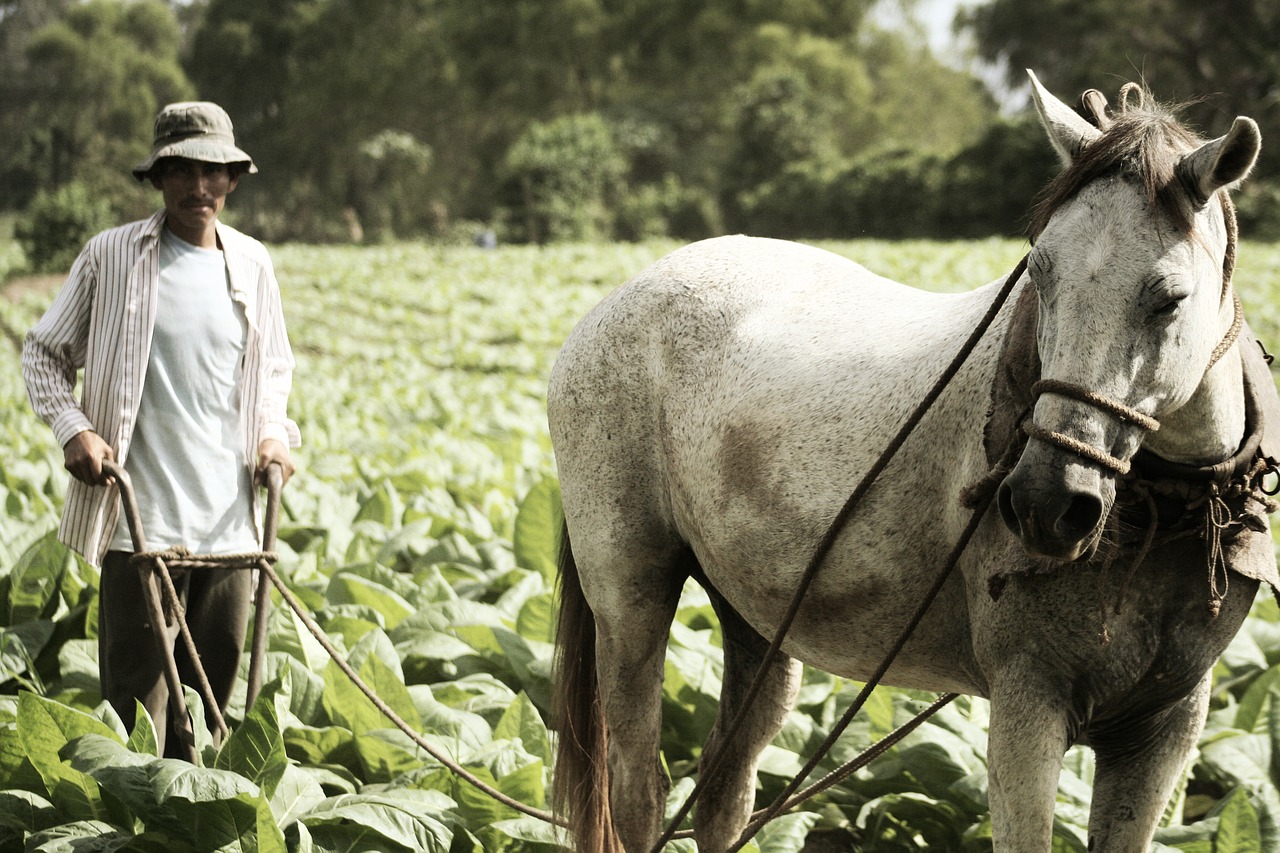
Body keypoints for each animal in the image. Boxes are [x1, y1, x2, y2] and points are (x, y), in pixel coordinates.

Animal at [545, 74, 1274, 850]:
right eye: (1040, 271)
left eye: (1168, 298)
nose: (1046, 503)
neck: (1158, 521)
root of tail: (615, 302)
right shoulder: (1027, 703)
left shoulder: (1166, 723)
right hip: (629, 591)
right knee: (638, 786)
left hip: (756, 614)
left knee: (724, 786)